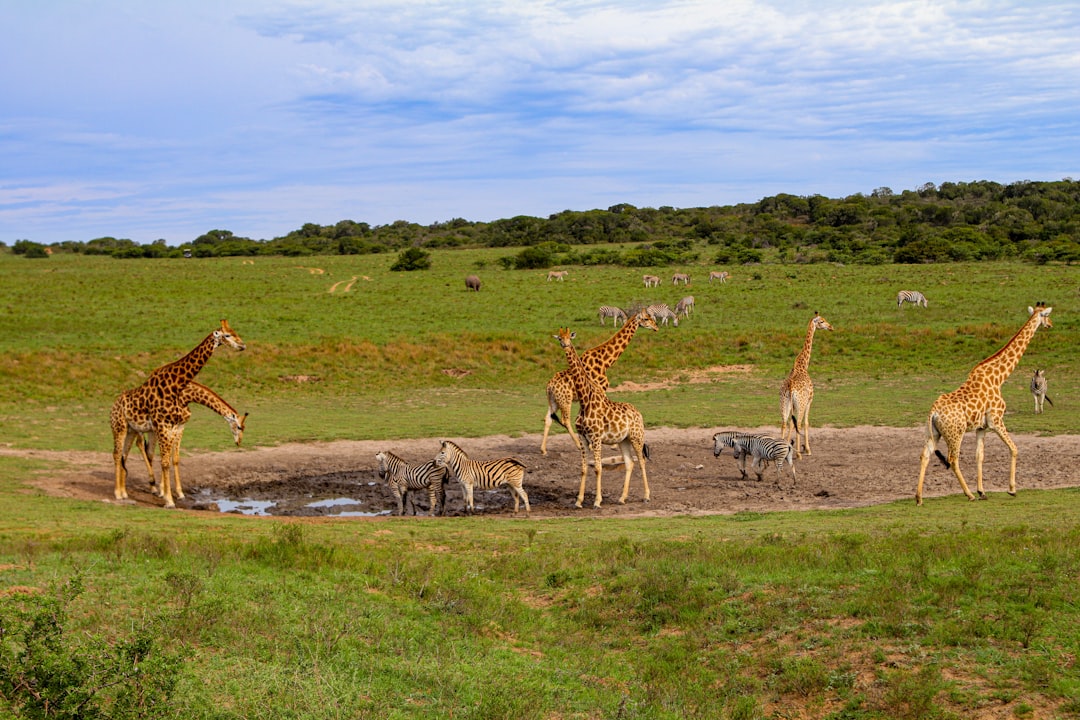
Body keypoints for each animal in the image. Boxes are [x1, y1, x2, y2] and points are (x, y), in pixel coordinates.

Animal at [112, 321, 246, 507]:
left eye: (235, 332)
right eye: (227, 335)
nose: (242, 345)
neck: (179, 387)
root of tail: (114, 404)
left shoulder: (177, 426)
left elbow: (172, 459)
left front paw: (174, 493)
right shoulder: (163, 425)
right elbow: (165, 460)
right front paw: (168, 499)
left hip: (132, 430)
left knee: (126, 455)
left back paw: (125, 492)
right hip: (120, 428)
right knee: (118, 454)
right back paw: (119, 493)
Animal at [540, 306, 656, 453]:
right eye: (646, 318)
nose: (656, 327)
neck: (606, 362)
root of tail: (549, 386)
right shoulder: (601, 389)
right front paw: (612, 443)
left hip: (554, 401)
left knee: (548, 418)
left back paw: (543, 449)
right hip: (565, 400)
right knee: (565, 419)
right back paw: (578, 444)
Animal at [552, 330, 643, 509]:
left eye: (569, 337)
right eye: (559, 338)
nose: (565, 345)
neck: (584, 400)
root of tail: (639, 414)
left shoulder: (596, 438)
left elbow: (598, 468)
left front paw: (597, 501)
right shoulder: (583, 438)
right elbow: (584, 468)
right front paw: (578, 501)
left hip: (637, 437)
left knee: (642, 461)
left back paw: (647, 496)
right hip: (624, 440)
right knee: (630, 463)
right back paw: (622, 498)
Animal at [777, 308, 833, 455]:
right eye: (822, 321)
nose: (831, 327)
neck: (803, 365)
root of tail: (790, 388)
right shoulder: (809, 400)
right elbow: (807, 423)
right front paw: (807, 449)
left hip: (784, 403)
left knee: (784, 423)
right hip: (800, 404)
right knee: (798, 423)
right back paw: (797, 453)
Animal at [920, 304, 1054, 507]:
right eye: (1046, 315)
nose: (1050, 325)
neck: (999, 378)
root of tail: (933, 412)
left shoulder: (981, 427)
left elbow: (979, 456)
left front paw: (982, 491)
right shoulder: (996, 420)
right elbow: (1014, 449)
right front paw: (1012, 489)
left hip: (934, 432)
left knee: (925, 455)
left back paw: (919, 498)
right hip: (955, 433)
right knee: (953, 459)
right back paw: (968, 495)